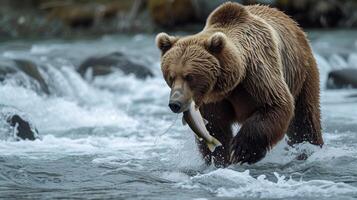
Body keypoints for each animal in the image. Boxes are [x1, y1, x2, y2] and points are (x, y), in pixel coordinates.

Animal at [156, 2, 322, 166]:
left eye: (189, 76)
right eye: (171, 76)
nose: (175, 103)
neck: (232, 83)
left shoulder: (257, 75)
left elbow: (276, 104)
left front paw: (242, 150)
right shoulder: (213, 100)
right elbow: (215, 127)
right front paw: (221, 158)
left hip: (302, 71)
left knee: (304, 119)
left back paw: (309, 148)